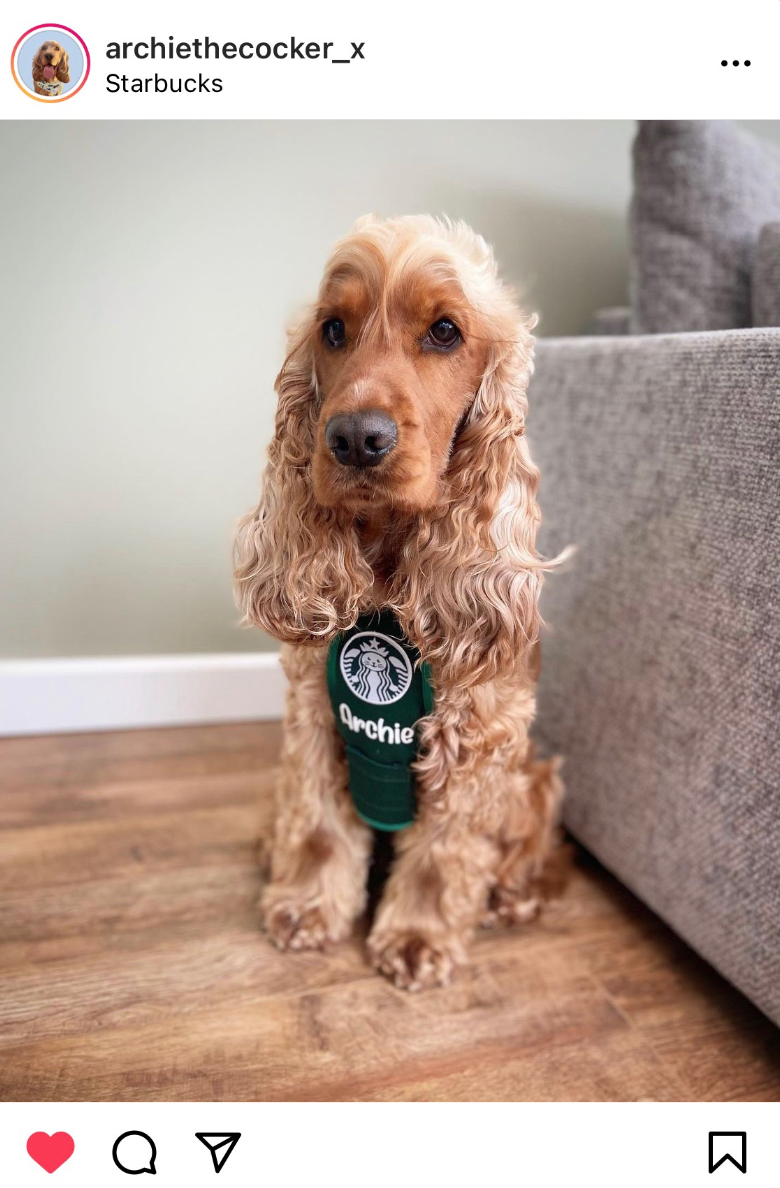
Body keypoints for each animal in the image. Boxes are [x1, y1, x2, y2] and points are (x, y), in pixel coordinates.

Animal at [235, 215, 566, 991]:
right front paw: (307, 904)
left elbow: (445, 853)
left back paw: (513, 896)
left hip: (537, 781)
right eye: (333, 329)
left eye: (445, 331)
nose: (355, 438)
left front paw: (417, 937)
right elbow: (320, 825)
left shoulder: (477, 738)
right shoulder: (314, 717)